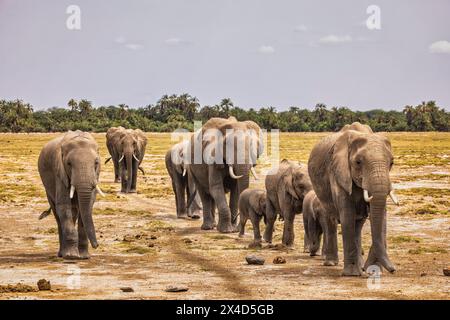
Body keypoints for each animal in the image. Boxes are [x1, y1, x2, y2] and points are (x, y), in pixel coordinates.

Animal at [308, 121, 400, 276]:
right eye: (358, 162)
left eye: (392, 163)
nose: (393, 269)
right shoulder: (338, 171)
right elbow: (347, 214)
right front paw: (352, 274)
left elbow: (380, 215)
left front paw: (371, 270)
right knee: (331, 221)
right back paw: (331, 263)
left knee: (358, 225)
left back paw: (359, 265)